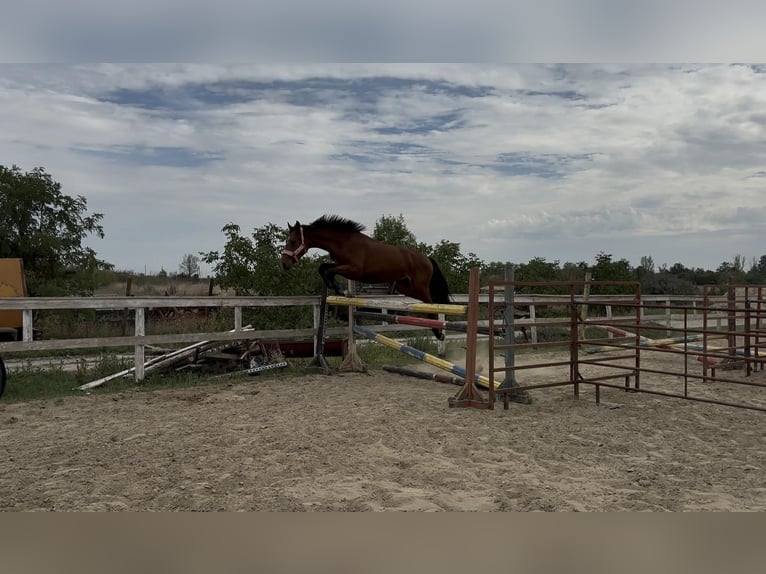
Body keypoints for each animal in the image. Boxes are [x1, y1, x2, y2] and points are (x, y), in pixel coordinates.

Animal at [281, 215, 452, 340]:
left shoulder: (353, 270)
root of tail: (427, 259)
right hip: (406, 287)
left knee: (432, 304)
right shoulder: (341, 265)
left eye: (293, 241)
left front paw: (340, 290)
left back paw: (438, 333)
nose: (284, 263)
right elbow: (323, 268)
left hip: (420, 287)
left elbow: (328, 270)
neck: (344, 242)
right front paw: (337, 289)